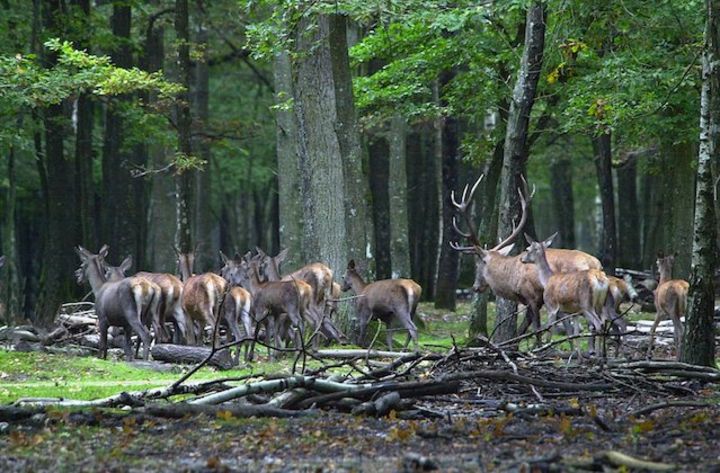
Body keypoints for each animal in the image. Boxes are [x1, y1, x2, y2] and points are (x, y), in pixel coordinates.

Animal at [450, 175, 600, 344]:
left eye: (478, 264)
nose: (475, 286)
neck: (513, 279)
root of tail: (596, 264)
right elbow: (522, 330)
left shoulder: (533, 297)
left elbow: (537, 330)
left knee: (591, 323)